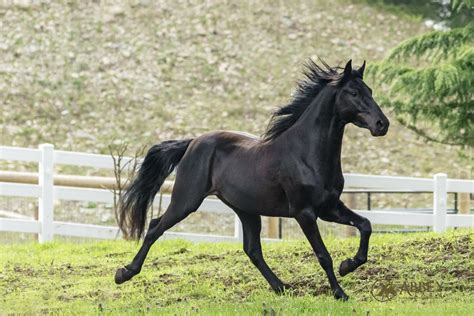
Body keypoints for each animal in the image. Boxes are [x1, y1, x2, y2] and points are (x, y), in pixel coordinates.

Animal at [114, 59, 388, 302]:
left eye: (370, 91)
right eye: (354, 92)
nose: (382, 124)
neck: (306, 154)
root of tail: (192, 143)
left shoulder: (330, 208)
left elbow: (365, 225)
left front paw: (348, 265)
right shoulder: (305, 213)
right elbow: (323, 254)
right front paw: (340, 293)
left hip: (246, 210)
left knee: (252, 249)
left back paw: (281, 287)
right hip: (186, 201)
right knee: (154, 227)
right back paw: (124, 273)